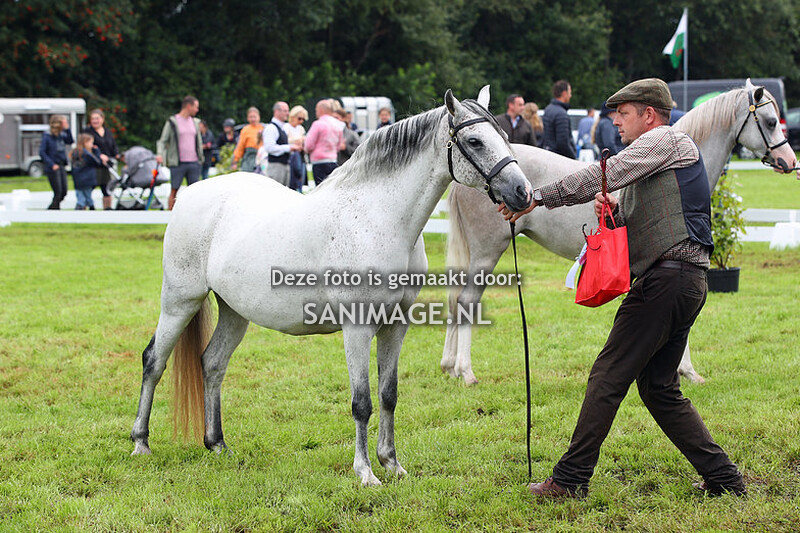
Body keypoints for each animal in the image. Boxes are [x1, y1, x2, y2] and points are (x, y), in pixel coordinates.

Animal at [129, 87, 532, 487]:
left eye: (504, 136)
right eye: (475, 140)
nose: (522, 192)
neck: (378, 219)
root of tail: (190, 194)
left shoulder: (395, 326)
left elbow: (388, 395)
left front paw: (392, 464)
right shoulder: (358, 328)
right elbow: (362, 402)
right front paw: (366, 472)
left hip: (234, 311)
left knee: (212, 363)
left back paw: (217, 445)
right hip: (180, 301)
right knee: (154, 361)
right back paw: (140, 443)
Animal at [442, 79, 799, 385]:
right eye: (770, 122)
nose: (789, 161)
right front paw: (686, 371)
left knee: (453, 299)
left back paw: (449, 367)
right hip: (487, 252)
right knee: (467, 301)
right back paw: (466, 371)